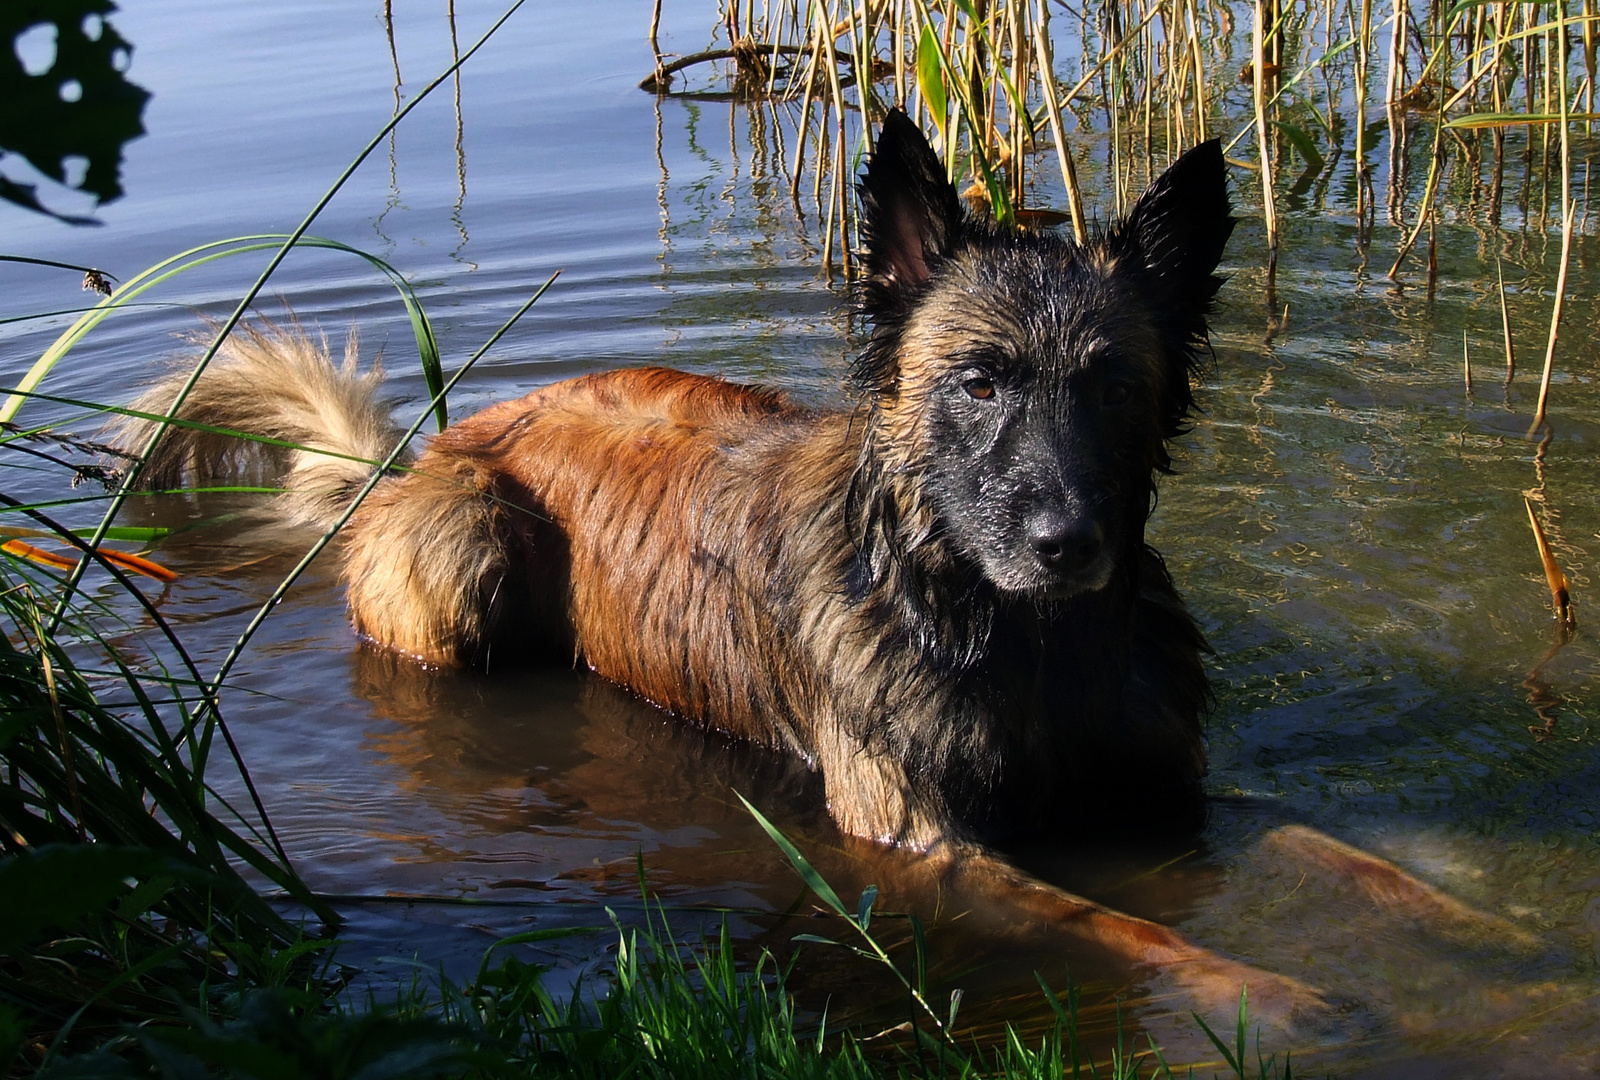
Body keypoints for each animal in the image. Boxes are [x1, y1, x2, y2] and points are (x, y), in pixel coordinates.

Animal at [116, 114, 1350, 1036]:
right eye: (980, 383)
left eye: (1112, 387)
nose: (1067, 543)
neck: (1021, 643)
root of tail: (420, 453)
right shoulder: (925, 843)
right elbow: (1129, 924)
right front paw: (1283, 993)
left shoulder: (1168, 792)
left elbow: (1341, 855)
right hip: (466, 551)